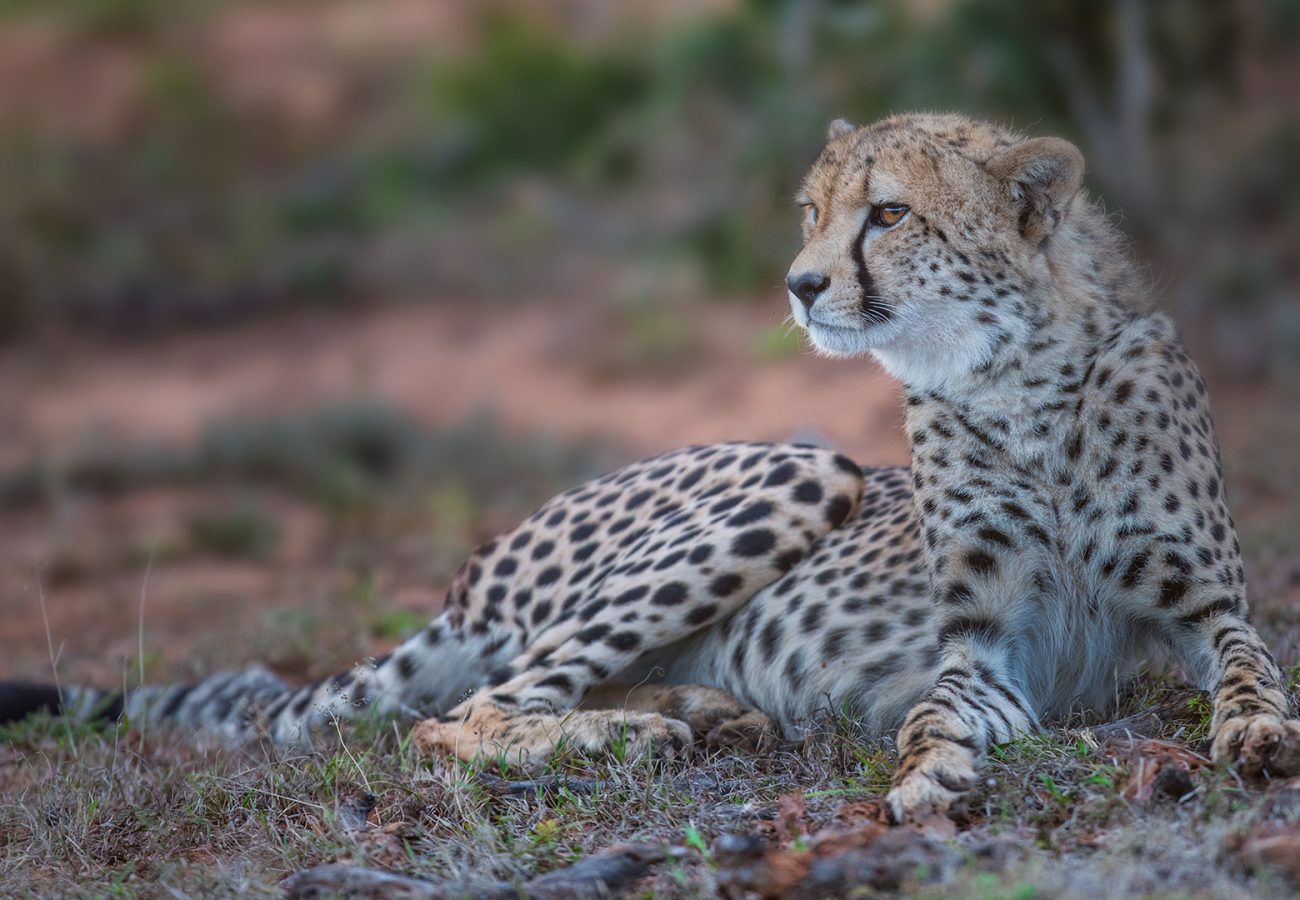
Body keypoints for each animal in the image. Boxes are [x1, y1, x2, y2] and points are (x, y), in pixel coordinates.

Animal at [5, 112, 1294, 821]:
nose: (799, 284)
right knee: (463, 716)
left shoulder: (1203, 605)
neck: (1013, 377)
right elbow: (934, 711)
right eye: (811, 211)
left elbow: (1248, 669)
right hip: (799, 470)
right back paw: (640, 733)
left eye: (886, 216)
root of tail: (466, 579)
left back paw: (699, 711)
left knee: (500, 696)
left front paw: (1256, 738)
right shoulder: (986, 645)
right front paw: (928, 775)